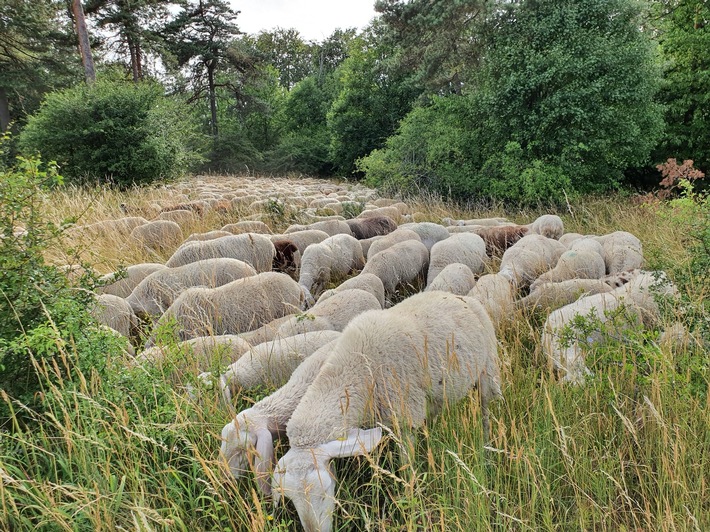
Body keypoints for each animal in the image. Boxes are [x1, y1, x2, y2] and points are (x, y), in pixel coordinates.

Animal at [270, 290, 504, 532]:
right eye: (291, 500)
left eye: (325, 493)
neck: (358, 367)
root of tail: (455, 296)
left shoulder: (405, 419)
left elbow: (407, 468)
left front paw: (410, 499)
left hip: (488, 373)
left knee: (486, 414)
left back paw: (487, 451)